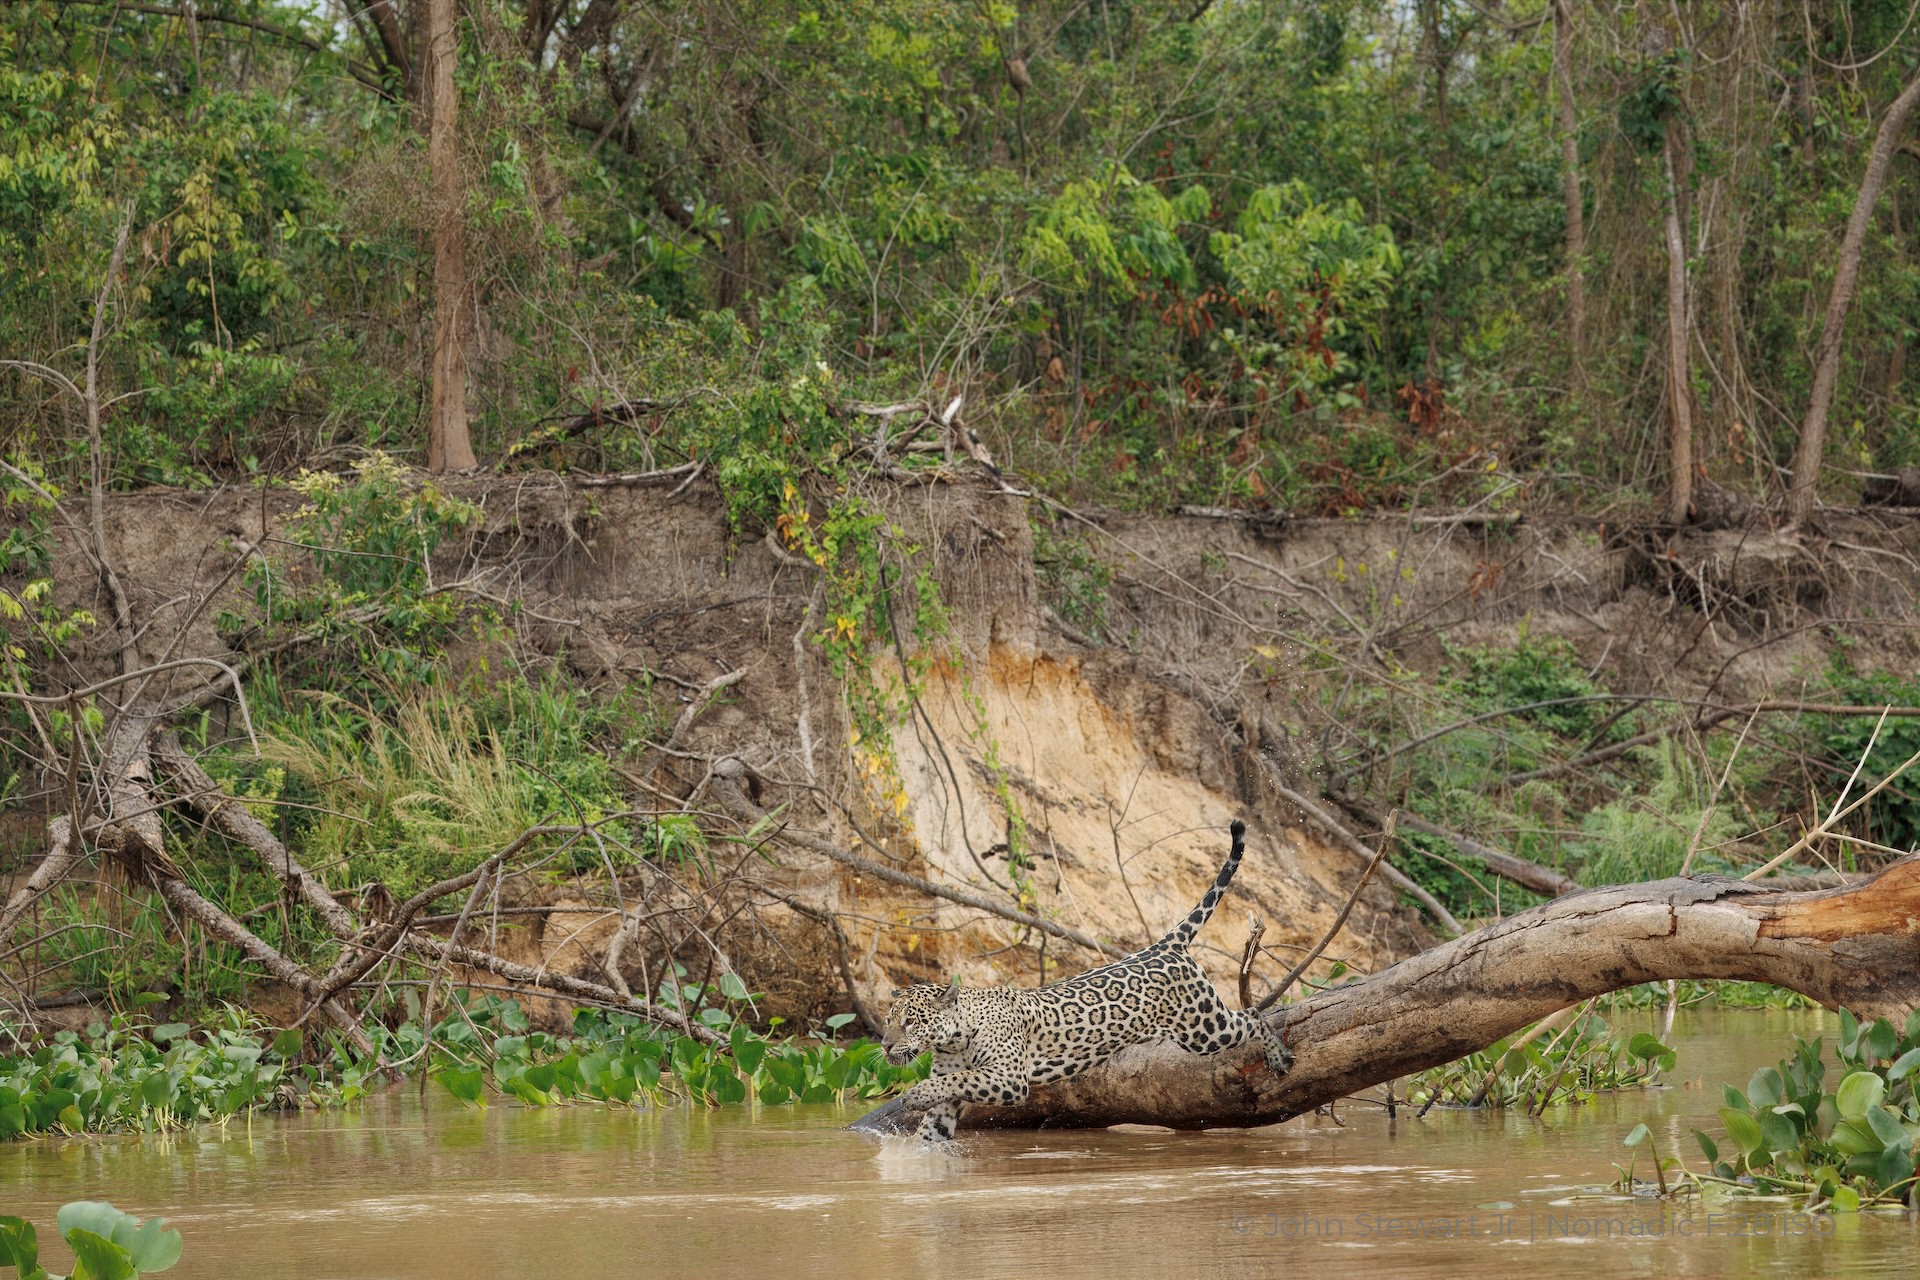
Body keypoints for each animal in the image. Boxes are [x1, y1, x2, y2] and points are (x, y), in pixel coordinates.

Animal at [880, 819, 1290, 1142]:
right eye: (887, 1021)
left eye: (911, 1022)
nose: (884, 1046)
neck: (954, 1039)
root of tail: (1163, 946)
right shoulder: (954, 1098)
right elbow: (935, 1122)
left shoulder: (1010, 1079)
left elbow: (953, 1080)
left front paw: (915, 1095)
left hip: (1204, 1028)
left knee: (1253, 1015)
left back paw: (1278, 1055)